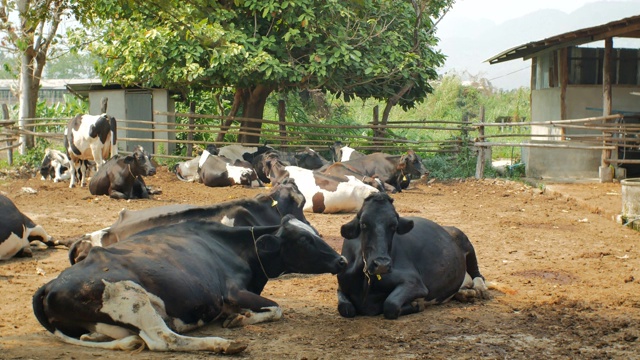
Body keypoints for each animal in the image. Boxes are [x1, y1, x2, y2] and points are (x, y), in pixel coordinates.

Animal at [32, 215, 348, 352]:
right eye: (304, 239)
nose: (342, 261)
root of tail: (51, 284)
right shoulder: (232, 291)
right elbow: (277, 308)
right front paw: (240, 319)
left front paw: (240, 317)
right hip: (130, 295)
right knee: (162, 339)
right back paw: (223, 345)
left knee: (104, 336)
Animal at [336, 193, 490, 320]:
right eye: (363, 224)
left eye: (393, 225)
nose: (382, 264)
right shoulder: (341, 286)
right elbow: (345, 308)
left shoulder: (414, 283)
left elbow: (390, 305)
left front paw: (416, 304)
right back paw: (465, 294)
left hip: (463, 238)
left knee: (478, 275)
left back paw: (480, 290)